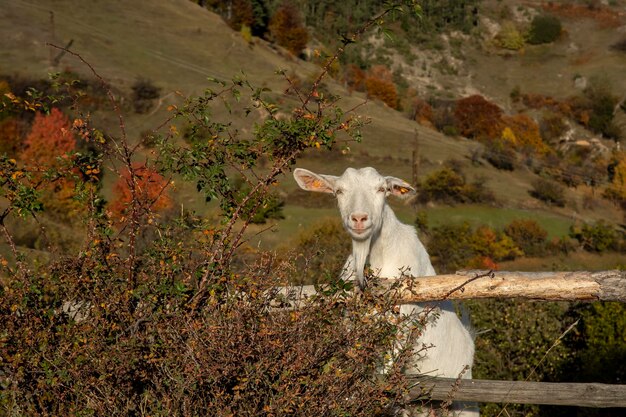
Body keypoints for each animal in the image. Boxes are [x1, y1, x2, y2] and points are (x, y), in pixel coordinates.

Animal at [294, 167, 476, 416]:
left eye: (381, 189)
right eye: (339, 191)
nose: (359, 218)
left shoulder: (406, 318)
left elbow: (385, 368)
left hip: (465, 402)